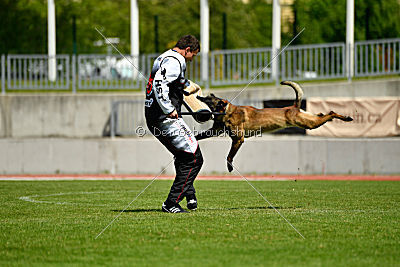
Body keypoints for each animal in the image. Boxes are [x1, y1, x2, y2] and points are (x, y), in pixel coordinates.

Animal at [195, 80, 352, 173]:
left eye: (209, 99)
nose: (198, 96)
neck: (227, 111)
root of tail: (294, 106)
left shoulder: (238, 140)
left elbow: (229, 156)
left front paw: (229, 166)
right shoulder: (215, 131)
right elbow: (199, 136)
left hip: (308, 123)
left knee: (330, 113)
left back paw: (346, 117)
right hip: (309, 120)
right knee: (321, 114)